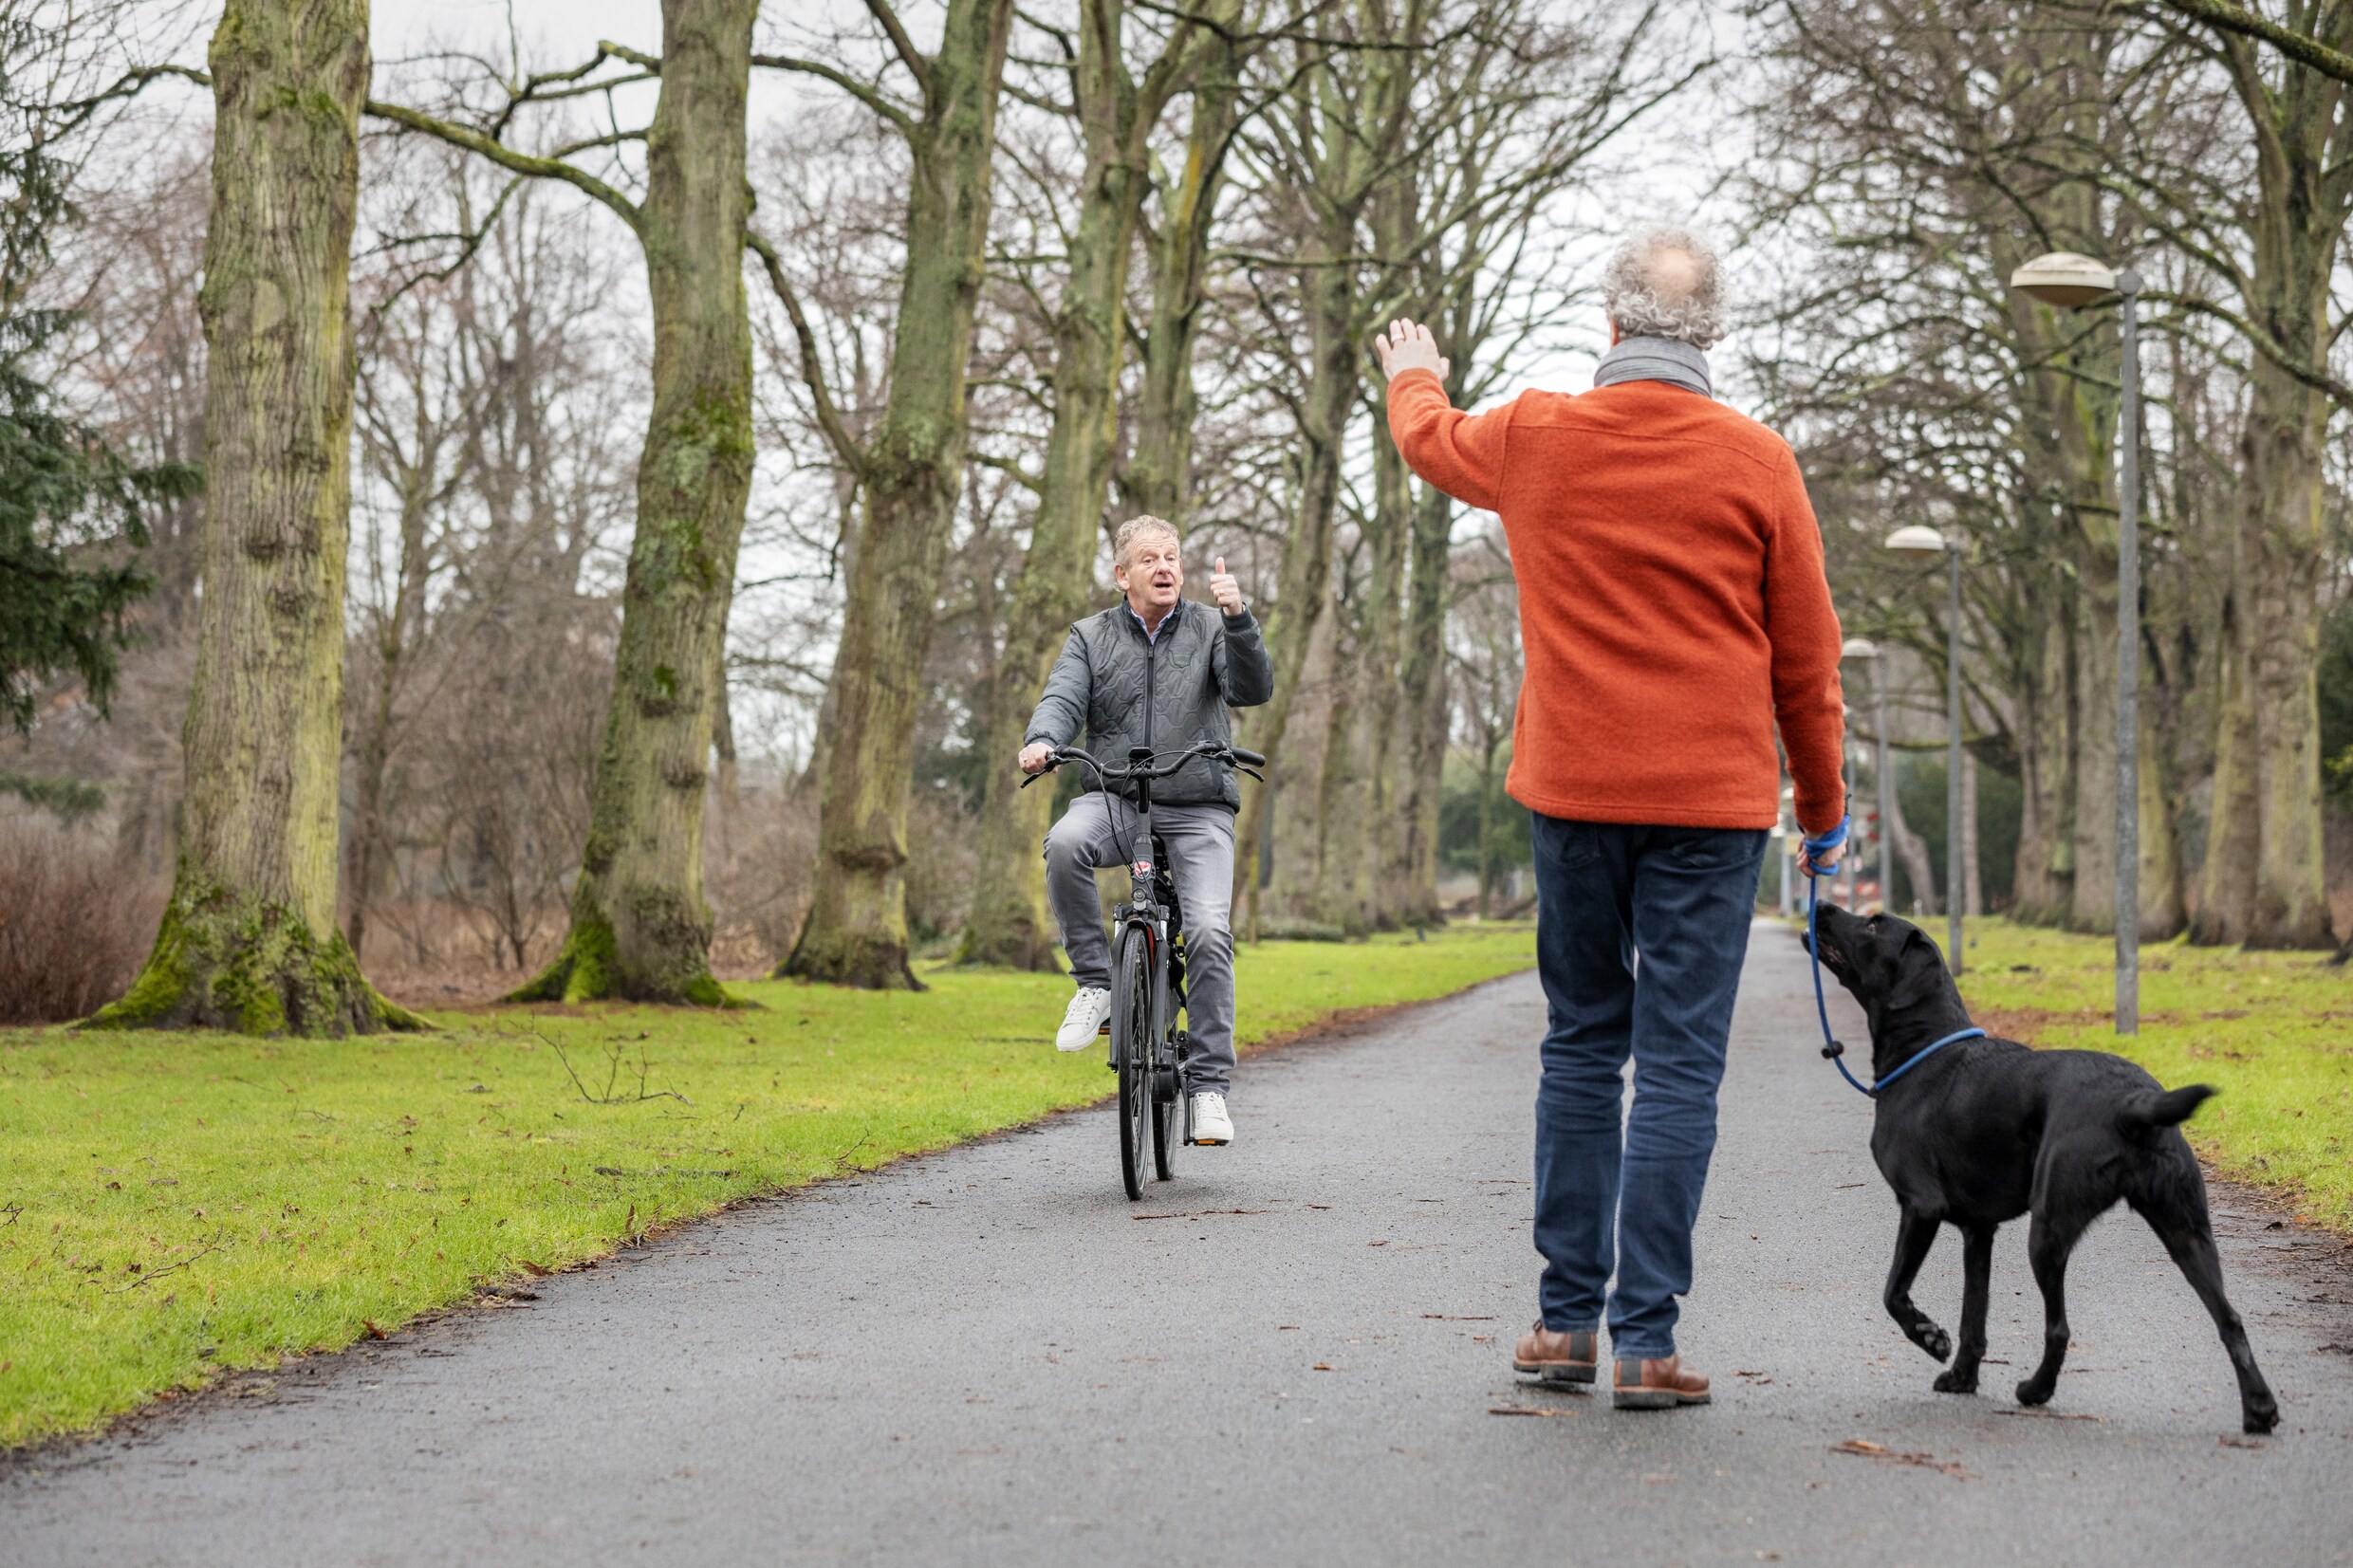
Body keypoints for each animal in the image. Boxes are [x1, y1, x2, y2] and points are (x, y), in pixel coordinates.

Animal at [1797, 907, 2277, 1438]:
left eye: (1874, 925)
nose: (1821, 907)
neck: (1926, 1048)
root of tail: (2134, 1103)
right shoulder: (1977, 1231)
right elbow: (1974, 1316)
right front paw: (1962, 1377)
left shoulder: (1920, 1206)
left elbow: (1893, 1292)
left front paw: (1930, 1337)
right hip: (2186, 1231)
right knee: (2230, 1320)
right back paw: (2259, 1410)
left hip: (2048, 1230)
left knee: (2060, 1327)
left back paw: (2036, 1390)